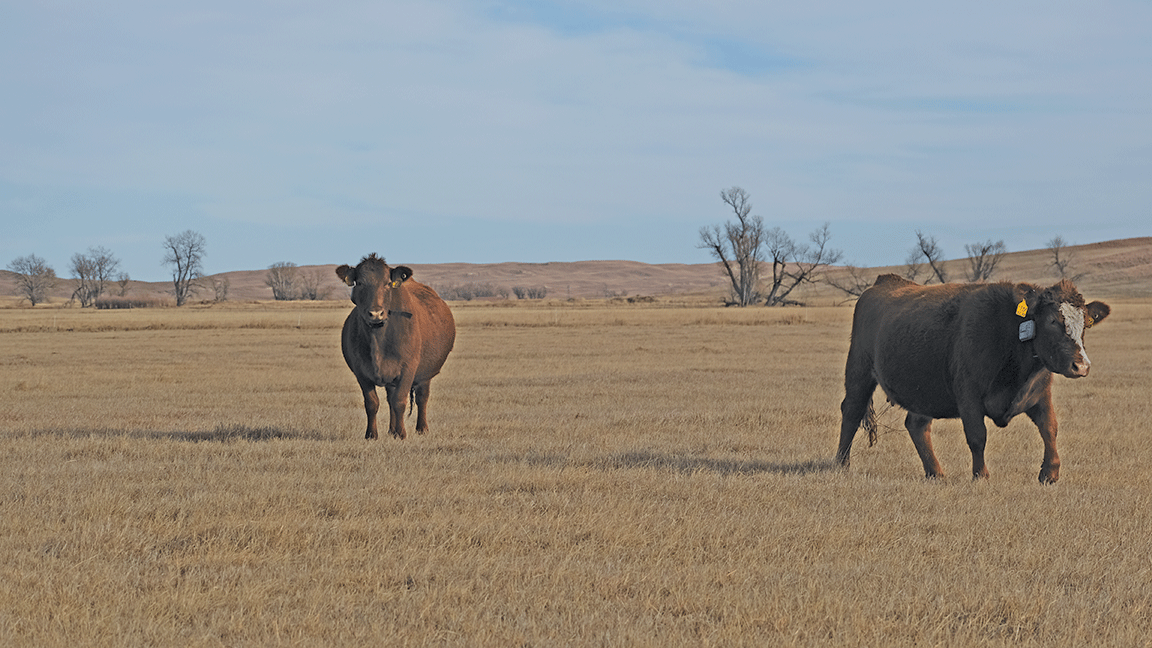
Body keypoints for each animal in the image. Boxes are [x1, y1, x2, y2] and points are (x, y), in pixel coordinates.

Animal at [335, 254, 456, 440]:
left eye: (387, 283)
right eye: (360, 283)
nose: (376, 313)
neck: (378, 338)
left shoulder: (408, 369)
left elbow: (400, 401)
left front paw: (401, 434)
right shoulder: (361, 372)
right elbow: (372, 403)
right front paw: (372, 434)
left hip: (426, 373)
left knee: (422, 398)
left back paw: (421, 428)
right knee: (390, 398)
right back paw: (391, 430)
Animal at [836, 274, 1109, 483]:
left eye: (1085, 324)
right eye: (1053, 321)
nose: (1081, 365)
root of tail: (883, 283)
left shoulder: (1040, 394)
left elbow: (1049, 428)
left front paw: (1050, 473)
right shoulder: (968, 397)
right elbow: (978, 436)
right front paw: (981, 475)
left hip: (923, 391)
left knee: (917, 425)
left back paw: (936, 473)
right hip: (859, 370)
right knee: (851, 411)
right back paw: (841, 463)